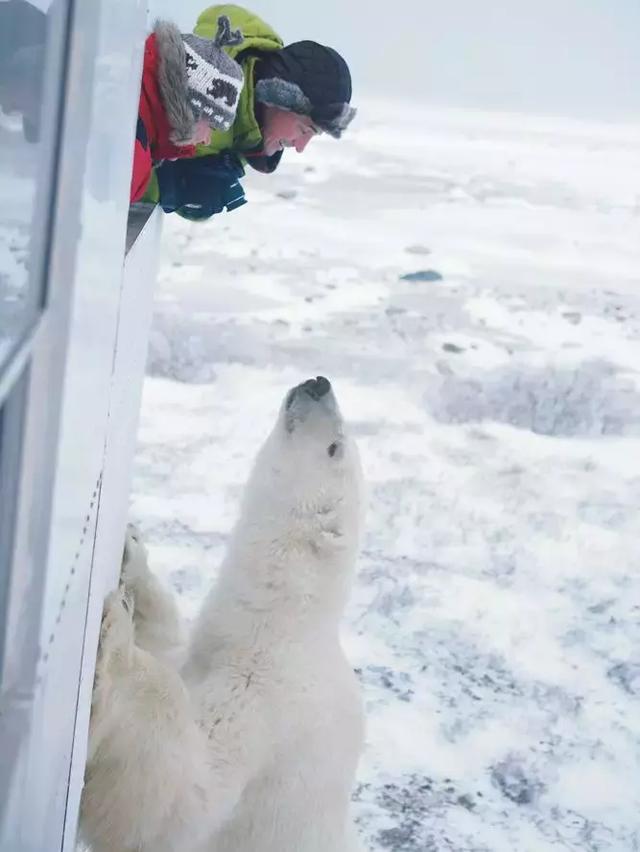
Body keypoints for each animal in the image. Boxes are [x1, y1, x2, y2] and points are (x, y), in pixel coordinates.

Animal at [79, 378, 364, 852]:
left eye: (335, 447)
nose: (318, 383)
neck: (278, 621)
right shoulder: (206, 653)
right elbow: (171, 644)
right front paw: (131, 552)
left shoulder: (265, 701)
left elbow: (187, 799)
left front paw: (117, 645)